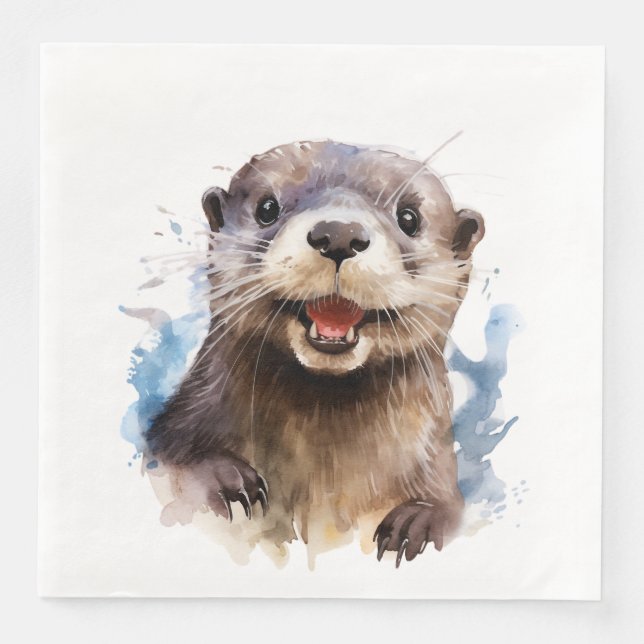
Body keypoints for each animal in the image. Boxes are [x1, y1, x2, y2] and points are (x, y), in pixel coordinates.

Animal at [144, 140, 484, 567]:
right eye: (267, 208)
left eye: (409, 217)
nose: (339, 233)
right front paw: (225, 482)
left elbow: (447, 510)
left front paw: (418, 521)